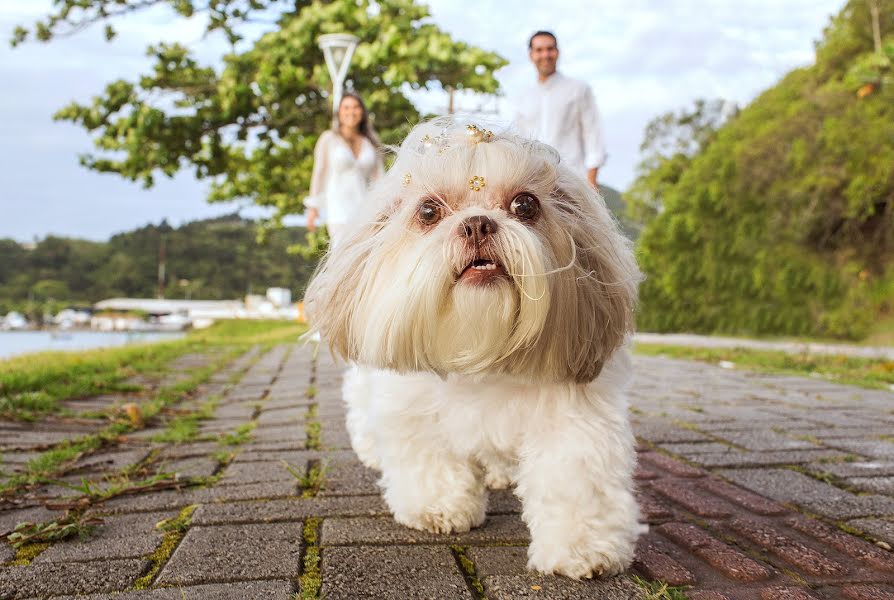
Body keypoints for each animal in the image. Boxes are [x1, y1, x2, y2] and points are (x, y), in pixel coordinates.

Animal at [306, 117, 644, 576]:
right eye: (428, 211)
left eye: (525, 205)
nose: (479, 223)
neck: (482, 352)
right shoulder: (414, 407)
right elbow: (429, 458)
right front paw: (438, 507)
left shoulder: (574, 415)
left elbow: (574, 477)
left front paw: (583, 547)